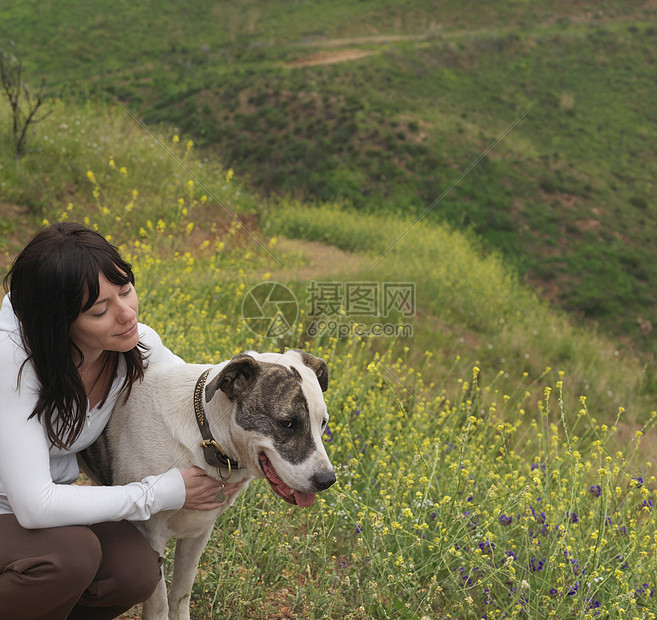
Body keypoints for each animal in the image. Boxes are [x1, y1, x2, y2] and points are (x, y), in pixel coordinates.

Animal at [82, 348, 336, 620]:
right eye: (287, 424)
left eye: (323, 422)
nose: (327, 480)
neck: (206, 435)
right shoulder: (150, 535)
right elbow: (159, 603)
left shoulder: (198, 533)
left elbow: (180, 595)